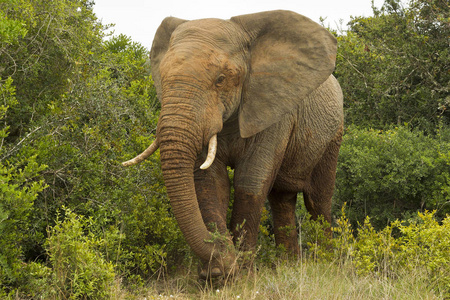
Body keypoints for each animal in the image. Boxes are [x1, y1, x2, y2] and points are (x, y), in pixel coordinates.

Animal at [121, 10, 342, 280]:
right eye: (161, 78)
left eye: (221, 79)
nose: (221, 257)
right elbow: (210, 181)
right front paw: (219, 273)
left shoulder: (273, 110)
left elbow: (250, 180)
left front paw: (242, 274)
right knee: (282, 200)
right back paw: (288, 266)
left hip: (333, 136)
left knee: (318, 200)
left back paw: (327, 265)